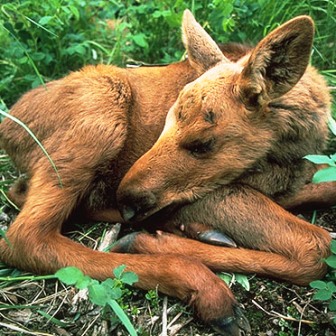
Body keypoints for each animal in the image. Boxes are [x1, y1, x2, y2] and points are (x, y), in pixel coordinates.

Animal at [0, 9, 334, 334]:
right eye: (164, 123)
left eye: (201, 144)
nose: (126, 202)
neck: (292, 149)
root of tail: (8, 127)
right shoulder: (213, 192)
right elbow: (317, 246)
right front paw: (155, 241)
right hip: (103, 108)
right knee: (25, 238)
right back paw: (201, 283)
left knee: (24, 195)